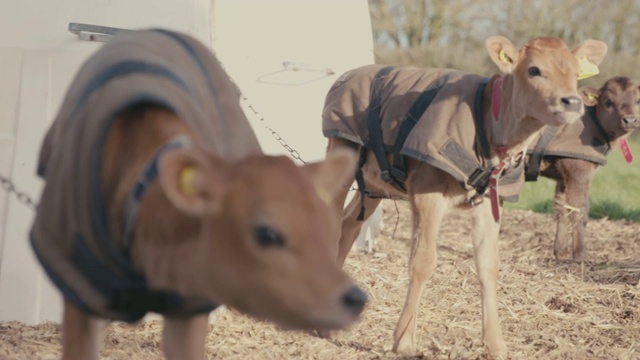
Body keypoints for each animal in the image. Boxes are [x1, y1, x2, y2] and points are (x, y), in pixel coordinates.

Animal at [322, 34, 608, 358]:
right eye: (534, 70)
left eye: (576, 72)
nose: (572, 102)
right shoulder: (427, 193)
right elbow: (422, 261)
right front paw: (404, 341)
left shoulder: (490, 204)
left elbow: (488, 265)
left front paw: (496, 345)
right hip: (341, 154)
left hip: (374, 184)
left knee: (349, 225)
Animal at [524, 76, 640, 262]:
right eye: (608, 102)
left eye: (638, 100)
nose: (630, 120)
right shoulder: (578, 170)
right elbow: (580, 209)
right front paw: (580, 255)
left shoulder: (563, 177)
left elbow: (562, 209)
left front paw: (561, 254)